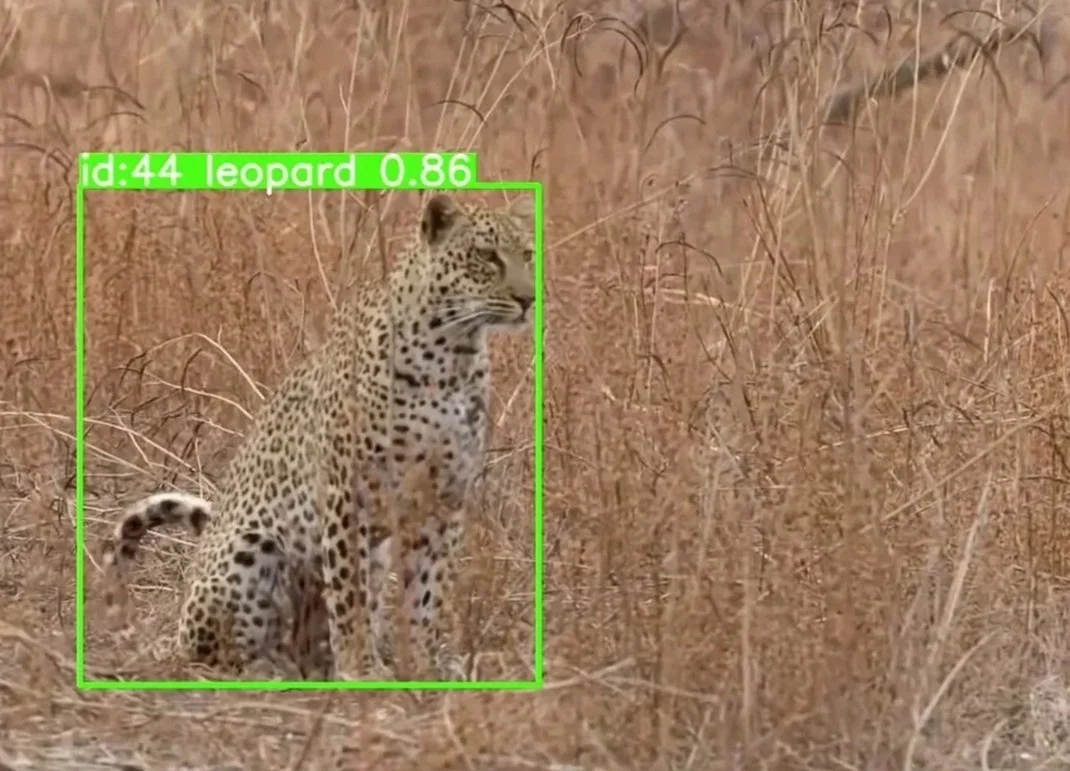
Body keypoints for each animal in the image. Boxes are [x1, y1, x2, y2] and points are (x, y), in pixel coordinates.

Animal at [99, 192, 535, 681]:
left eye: (527, 255)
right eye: (487, 256)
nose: (528, 299)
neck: (453, 354)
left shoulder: (444, 498)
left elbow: (425, 591)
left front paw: (421, 665)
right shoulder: (350, 493)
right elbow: (350, 592)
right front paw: (361, 669)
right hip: (251, 549)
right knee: (213, 648)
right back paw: (264, 669)